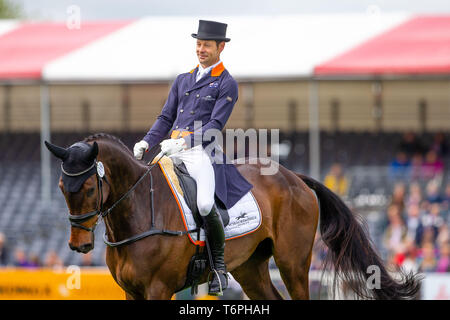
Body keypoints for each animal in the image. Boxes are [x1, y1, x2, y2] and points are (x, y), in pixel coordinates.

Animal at [46, 132, 422, 300]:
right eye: (63, 186)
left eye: (89, 189)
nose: (78, 245)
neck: (139, 210)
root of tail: (295, 178)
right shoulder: (131, 292)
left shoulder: (158, 289)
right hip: (250, 267)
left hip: (293, 263)